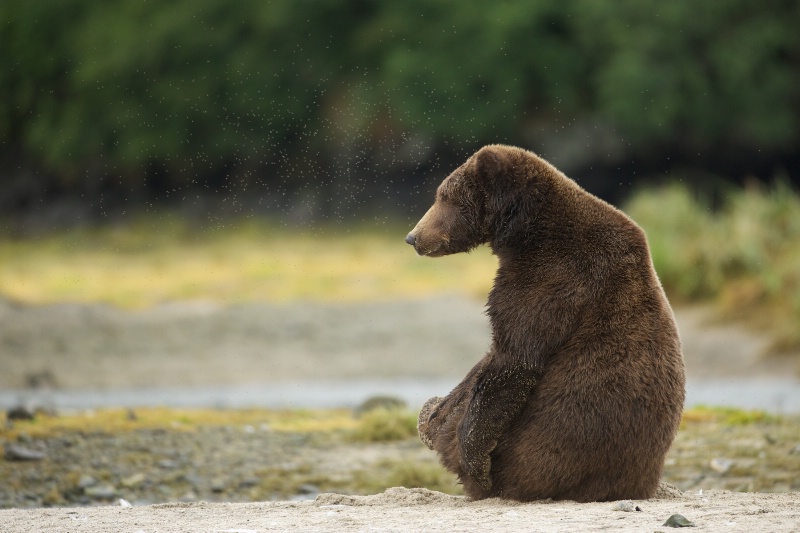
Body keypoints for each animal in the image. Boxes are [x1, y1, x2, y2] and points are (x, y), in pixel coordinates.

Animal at [410, 143, 684, 500]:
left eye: (445, 197)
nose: (413, 237)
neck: (525, 232)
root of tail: (640, 484)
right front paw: (438, 408)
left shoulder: (553, 279)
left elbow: (514, 360)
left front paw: (475, 463)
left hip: (537, 455)